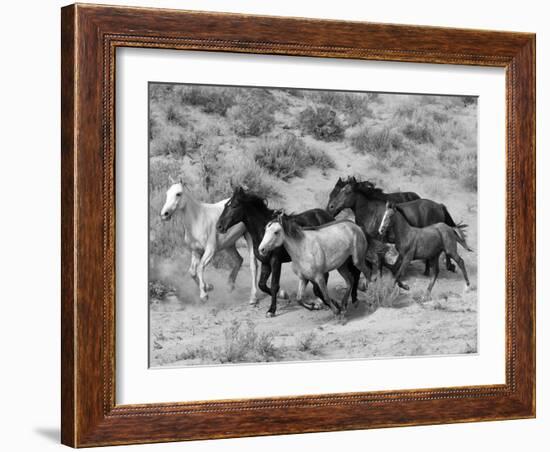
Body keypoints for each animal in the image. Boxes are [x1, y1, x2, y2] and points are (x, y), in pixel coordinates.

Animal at [216, 187, 362, 318]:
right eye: (225, 205)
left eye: (234, 206)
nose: (219, 226)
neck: (262, 232)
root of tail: (328, 215)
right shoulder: (265, 263)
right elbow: (262, 284)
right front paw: (285, 295)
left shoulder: (276, 262)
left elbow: (274, 285)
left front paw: (272, 310)